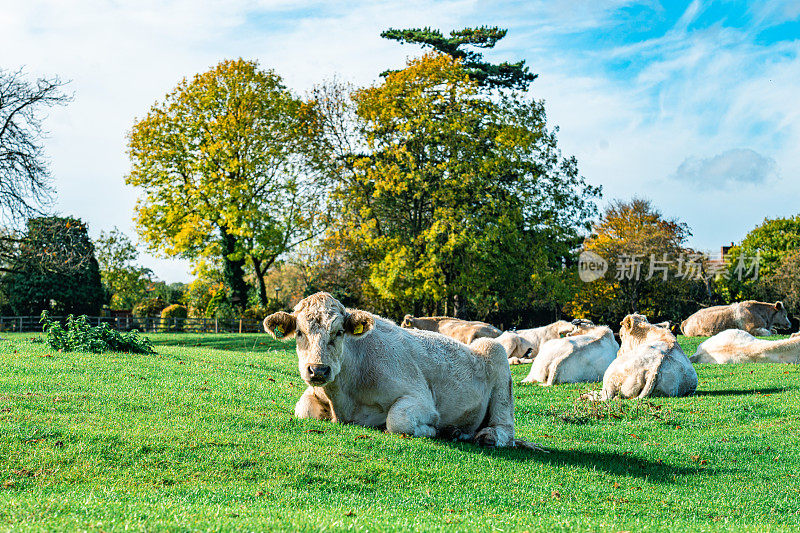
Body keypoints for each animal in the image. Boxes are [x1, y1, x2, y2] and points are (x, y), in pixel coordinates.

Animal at [266, 294, 520, 446]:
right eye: (300, 332)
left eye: (339, 332)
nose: (318, 370)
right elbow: (303, 409)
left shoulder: (421, 399)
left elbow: (398, 421)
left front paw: (432, 430)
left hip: (496, 354)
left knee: (505, 427)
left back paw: (487, 436)